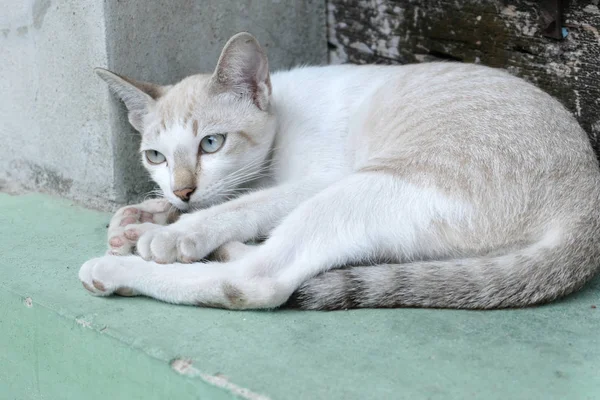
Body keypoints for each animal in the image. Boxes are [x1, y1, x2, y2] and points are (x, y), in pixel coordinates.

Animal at [79, 32, 600, 310]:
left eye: (211, 143)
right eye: (156, 158)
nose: (183, 191)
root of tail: (587, 208)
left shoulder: (319, 178)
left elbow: (247, 203)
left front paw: (174, 232)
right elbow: (229, 199)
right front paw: (146, 214)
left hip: (369, 184)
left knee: (256, 280)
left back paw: (120, 266)